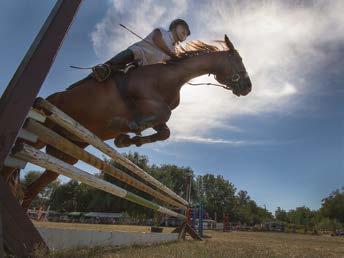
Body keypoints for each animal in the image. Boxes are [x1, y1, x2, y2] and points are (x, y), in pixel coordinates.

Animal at [0, 34, 253, 209]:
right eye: (238, 58)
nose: (248, 87)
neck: (170, 77)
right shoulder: (144, 103)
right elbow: (162, 115)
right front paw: (129, 130)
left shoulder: (155, 116)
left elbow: (164, 131)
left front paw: (127, 139)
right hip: (36, 136)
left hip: (65, 153)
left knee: (33, 188)